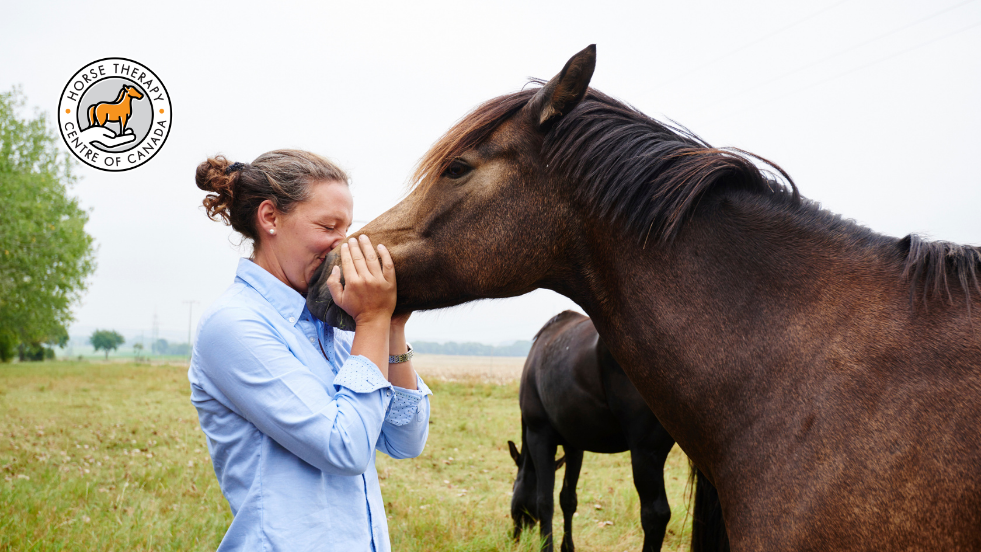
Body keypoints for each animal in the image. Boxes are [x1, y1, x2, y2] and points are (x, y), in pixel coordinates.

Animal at [508, 310, 676, 552]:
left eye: (513, 486)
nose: (515, 536)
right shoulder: (574, 446)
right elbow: (568, 499)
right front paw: (567, 547)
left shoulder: (539, 437)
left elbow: (545, 502)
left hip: (646, 453)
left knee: (655, 515)